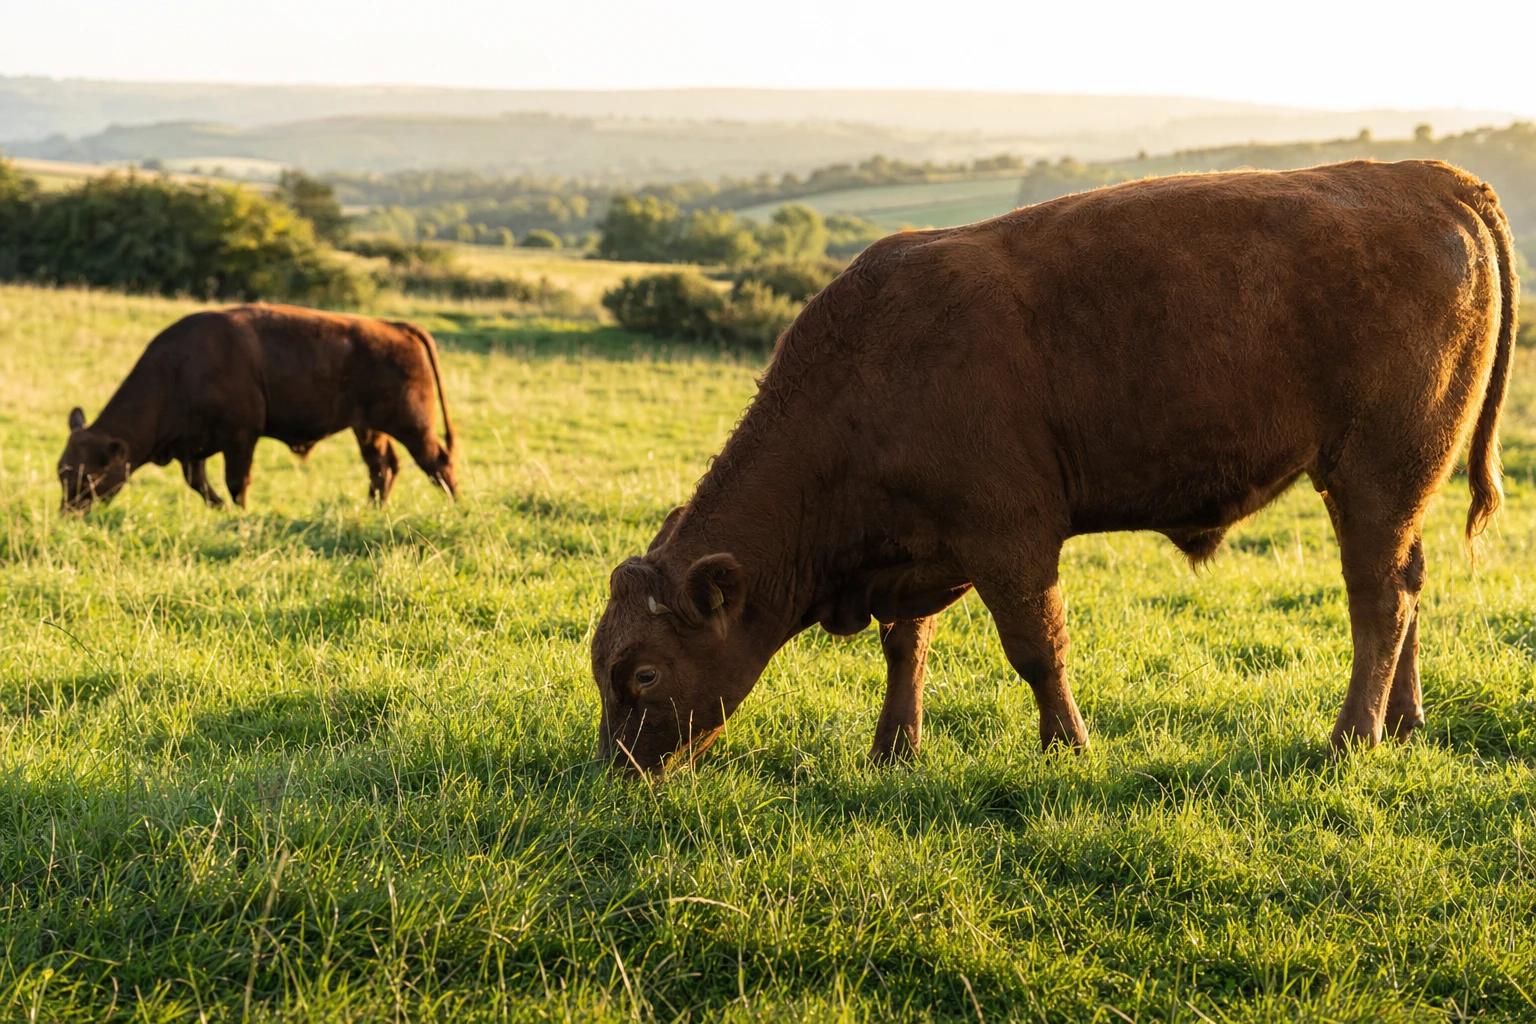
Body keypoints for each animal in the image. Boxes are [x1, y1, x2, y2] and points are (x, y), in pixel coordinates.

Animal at [58, 304, 457, 511]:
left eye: (89, 475)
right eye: (62, 472)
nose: (70, 513)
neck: (178, 370)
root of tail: (396, 327)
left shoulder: (239, 438)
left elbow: (237, 482)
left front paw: (239, 513)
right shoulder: (193, 446)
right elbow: (198, 483)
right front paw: (218, 509)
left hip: (413, 425)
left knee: (435, 461)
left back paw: (456, 507)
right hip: (369, 428)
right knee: (383, 466)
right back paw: (374, 508)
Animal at [591, 159, 1518, 775]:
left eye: (642, 672)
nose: (615, 772)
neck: (868, 368)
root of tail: (1428, 177)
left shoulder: (1011, 536)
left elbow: (1038, 647)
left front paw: (1067, 746)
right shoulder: (924, 551)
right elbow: (906, 647)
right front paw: (895, 749)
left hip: (1374, 474)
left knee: (1378, 598)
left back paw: (1351, 738)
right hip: (1396, 485)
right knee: (1407, 583)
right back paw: (1405, 723)